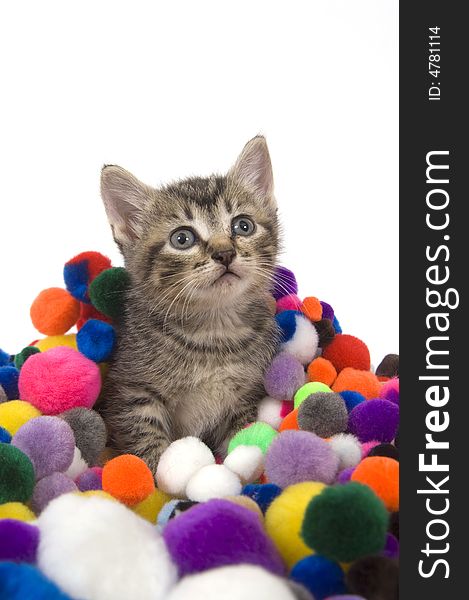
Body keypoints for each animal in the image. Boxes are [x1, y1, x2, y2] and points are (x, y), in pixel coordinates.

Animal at [98, 136, 280, 474]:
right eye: (182, 239)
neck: (213, 331)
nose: (225, 253)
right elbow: (146, 441)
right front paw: (155, 481)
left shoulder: (246, 396)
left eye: (243, 226)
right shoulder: (133, 392)